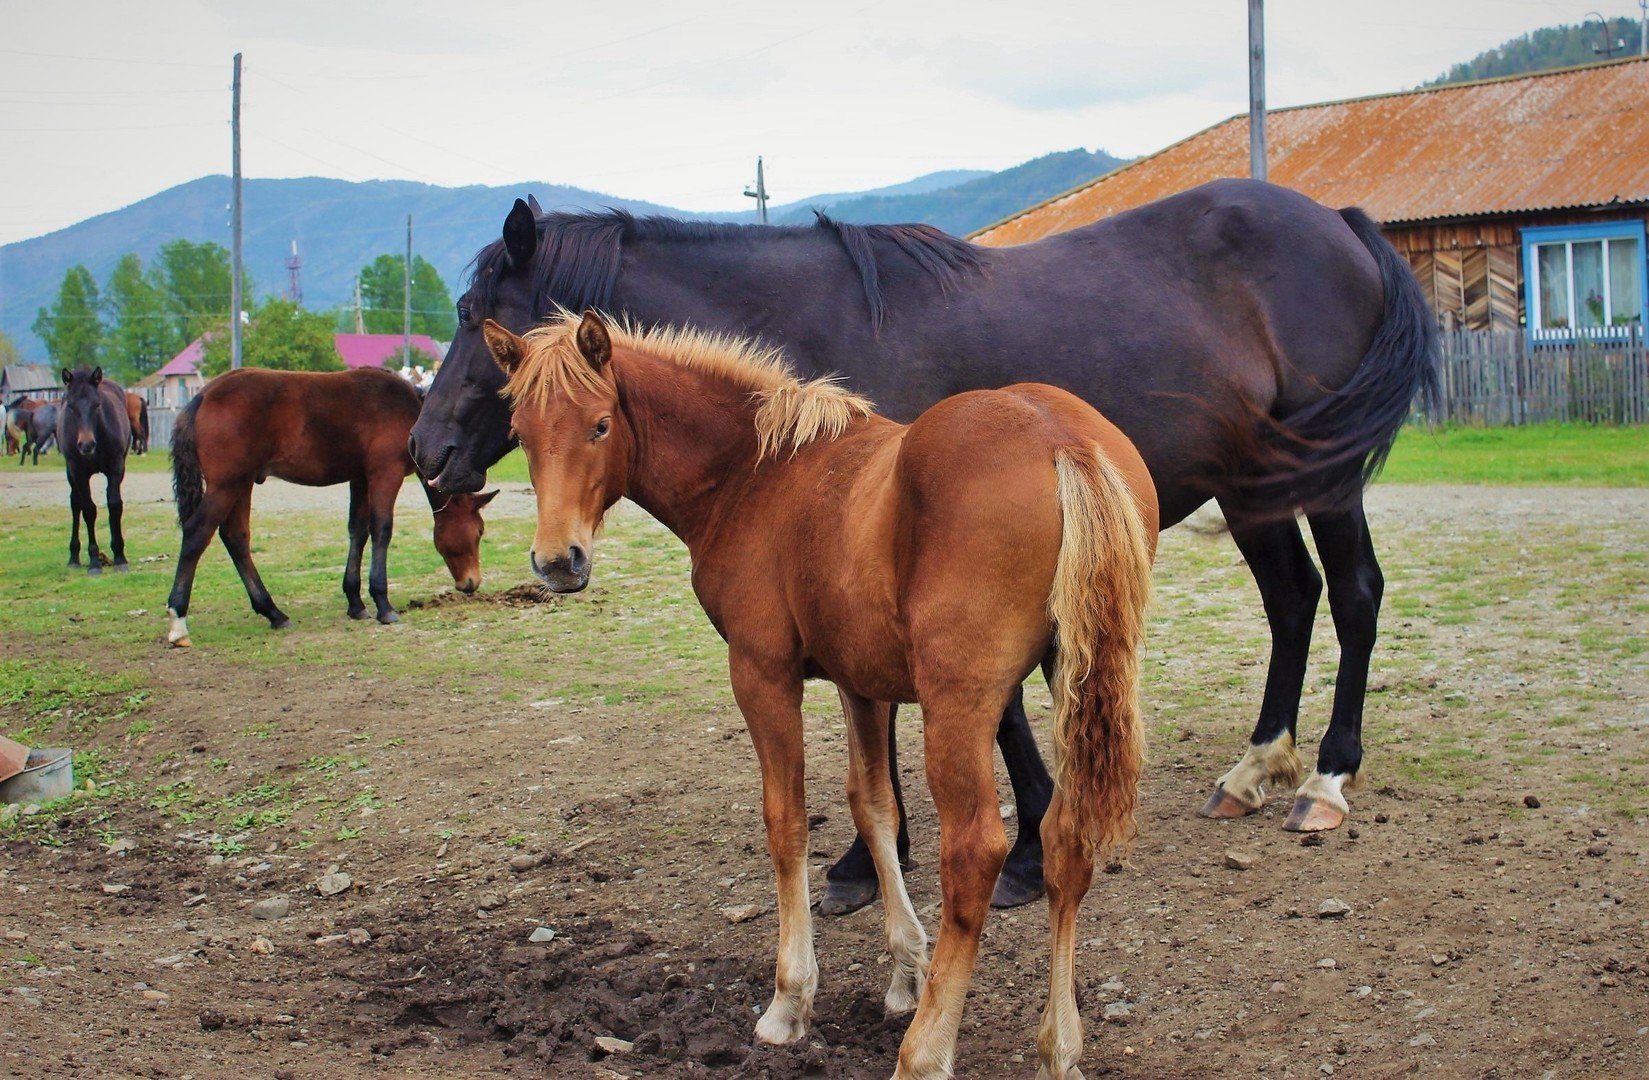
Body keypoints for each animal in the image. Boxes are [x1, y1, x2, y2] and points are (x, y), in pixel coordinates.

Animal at [58, 367, 131, 573]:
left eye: (97, 405)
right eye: (71, 406)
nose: (86, 445)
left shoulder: (116, 467)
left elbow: (115, 505)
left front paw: (120, 557)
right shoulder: (78, 472)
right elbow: (88, 510)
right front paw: (94, 562)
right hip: (70, 473)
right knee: (76, 504)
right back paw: (74, 557)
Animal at [166, 366, 501, 649]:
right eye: (479, 531)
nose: (471, 582)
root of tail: (202, 397)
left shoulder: (360, 477)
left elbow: (358, 531)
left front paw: (356, 602)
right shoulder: (385, 473)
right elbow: (381, 530)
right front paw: (383, 604)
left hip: (242, 483)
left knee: (236, 538)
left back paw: (274, 612)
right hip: (227, 484)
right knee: (197, 534)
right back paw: (178, 621)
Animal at [412, 181, 1444, 916]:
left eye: (473, 319)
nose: (426, 453)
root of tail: (1339, 224)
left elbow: (988, 713)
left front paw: (989, 853)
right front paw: (910, 855)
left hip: (1321, 476)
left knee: (1352, 593)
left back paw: (1326, 777)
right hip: (1254, 485)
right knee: (1293, 600)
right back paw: (1256, 767)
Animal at [488, 308, 1160, 1075]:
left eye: (600, 425)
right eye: (521, 435)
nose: (556, 562)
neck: (754, 475)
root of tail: (1060, 439)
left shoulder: (761, 671)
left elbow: (786, 821)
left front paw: (790, 1000)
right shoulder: (860, 681)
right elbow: (873, 807)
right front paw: (904, 968)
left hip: (959, 701)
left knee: (974, 853)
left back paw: (924, 1052)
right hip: (1076, 678)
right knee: (1065, 840)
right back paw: (1058, 1046)